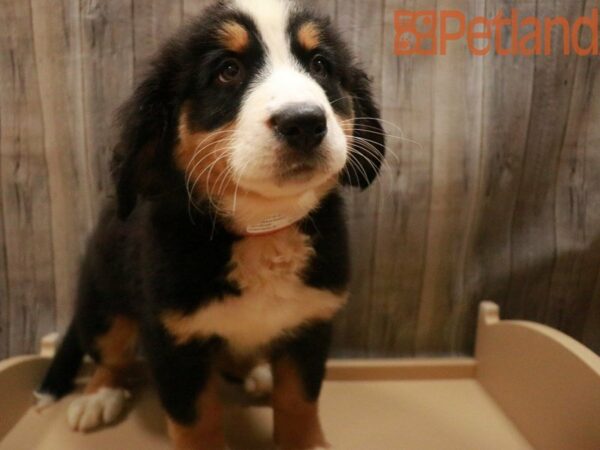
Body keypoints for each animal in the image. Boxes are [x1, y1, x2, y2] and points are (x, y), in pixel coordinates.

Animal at [36, 0, 384, 450]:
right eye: (228, 70)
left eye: (320, 65)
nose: (305, 122)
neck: (261, 230)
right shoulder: (173, 339)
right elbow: (197, 420)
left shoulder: (311, 321)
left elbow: (299, 400)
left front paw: (305, 442)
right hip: (103, 300)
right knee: (111, 354)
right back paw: (99, 395)